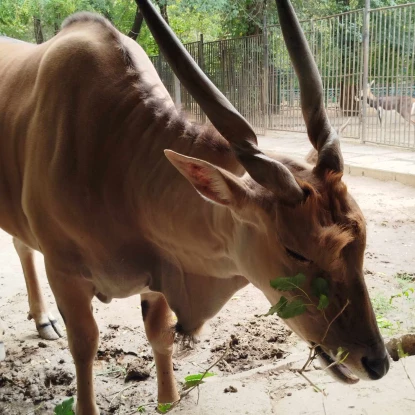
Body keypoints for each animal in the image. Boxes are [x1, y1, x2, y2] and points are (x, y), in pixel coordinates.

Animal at [0, 0, 390, 412]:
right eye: (295, 251)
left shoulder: (159, 272)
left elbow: (159, 334)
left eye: (362, 240)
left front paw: (168, 400)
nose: (376, 362)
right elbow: (85, 345)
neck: (116, 161)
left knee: (20, 243)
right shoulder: (64, 274)